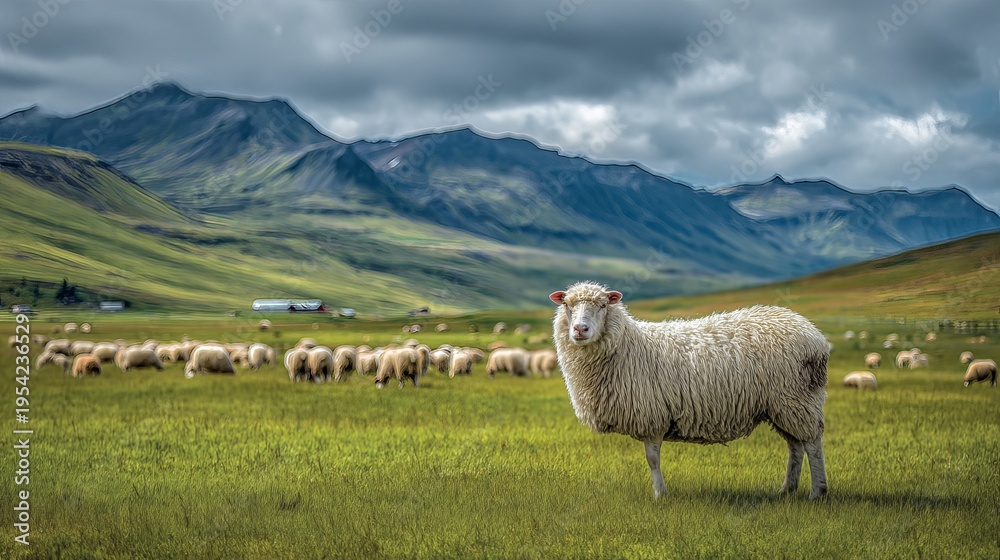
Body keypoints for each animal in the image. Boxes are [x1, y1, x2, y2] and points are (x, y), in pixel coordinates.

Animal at [550, 281, 829, 500]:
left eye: (603, 305)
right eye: (567, 305)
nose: (580, 329)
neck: (627, 346)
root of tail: (813, 333)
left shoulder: (652, 416)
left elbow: (652, 460)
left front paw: (660, 495)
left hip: (798, 397)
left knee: (812, 444)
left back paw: (817, 492)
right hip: (783, 405)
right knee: (795, 445)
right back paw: (787, 489)